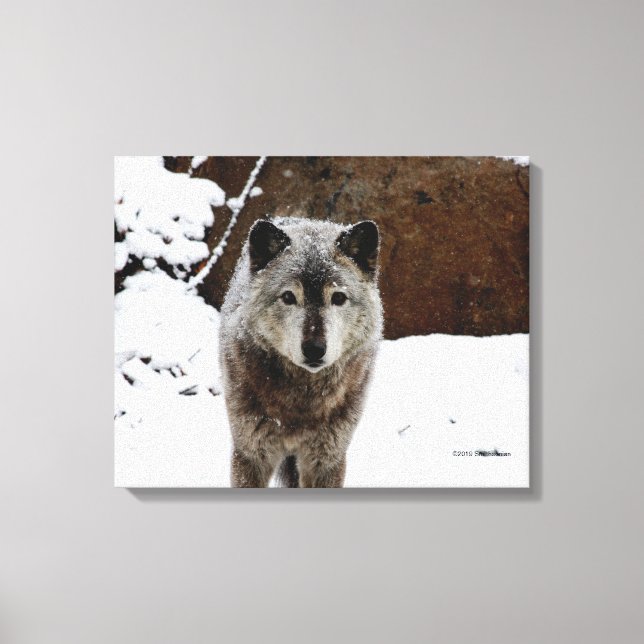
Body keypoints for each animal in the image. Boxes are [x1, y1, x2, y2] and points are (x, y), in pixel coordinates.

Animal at [218, 216, 383, 487]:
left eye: (338, 298)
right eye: (288, 297)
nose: (314, 349)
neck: (302, 401)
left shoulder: (326, 460)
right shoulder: (250, 454)